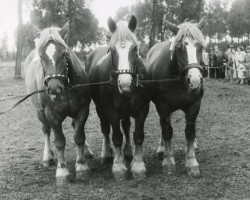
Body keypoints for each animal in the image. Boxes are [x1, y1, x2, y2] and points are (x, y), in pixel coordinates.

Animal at [23, 22, 93, 184]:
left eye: (64, 53)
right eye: (41, 56)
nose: (54, 88)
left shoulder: (82, 110)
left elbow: (79, 136)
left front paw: (81, 166)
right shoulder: (52, 116)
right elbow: (59, 141)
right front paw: (62, 170)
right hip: (40, 112)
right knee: (46, 130)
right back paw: (47, 157)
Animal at [86, 15, 148, 178]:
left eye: (135, 48)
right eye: (112, 50)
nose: (125, 83)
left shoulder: (142, 110)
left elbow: (138, 135)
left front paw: (138, 165)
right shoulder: (111, 112)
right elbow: (117, 137)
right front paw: (119, 167)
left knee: (126, 126)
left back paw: (129, 151)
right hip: (100, 109)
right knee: (106, 130)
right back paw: (107, 154)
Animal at [146, 17, 206, 177]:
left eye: (201, 47)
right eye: (179, 48)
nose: (195, 81)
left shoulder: (194, 105)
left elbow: (190, 132)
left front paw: (191, 162)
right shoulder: (163, 106)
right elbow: (167, 131)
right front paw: (168, 161)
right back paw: (162, 149)